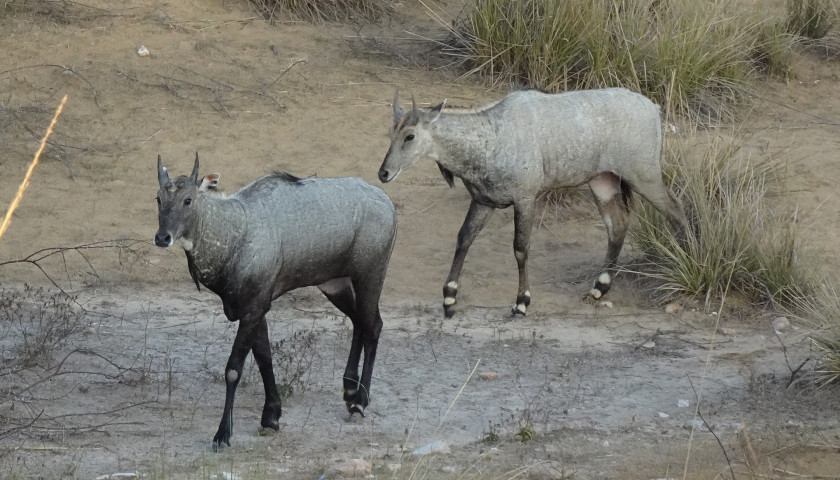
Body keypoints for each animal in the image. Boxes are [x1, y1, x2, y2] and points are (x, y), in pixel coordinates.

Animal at [155, 155, 398, 450]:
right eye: (158, 198)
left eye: (188, 199)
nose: (162, 237)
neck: (237, 233)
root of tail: (386, 201)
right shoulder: (254, 309)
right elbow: (264, 359)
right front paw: (271, 418)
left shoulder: (254, 309)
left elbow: (234, 369)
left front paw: (223, 434)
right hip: (334, 284)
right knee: (359, 321)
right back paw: (350, 389)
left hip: (370, 276)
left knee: (373, 325)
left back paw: (360, 403)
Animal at [378, 88, 684, 316]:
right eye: (391, 134)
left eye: (410, 136)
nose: (384, 173)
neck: (490, 138)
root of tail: (654, 108)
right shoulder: (484, 200)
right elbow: (464, 238)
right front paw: (449, 299)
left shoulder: (525, 198)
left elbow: (520, 248)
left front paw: (521, 303)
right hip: (603, 181)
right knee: (617, 226)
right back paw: (598, 288)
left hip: (643, 175)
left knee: (675, 211)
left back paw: (681, 262)